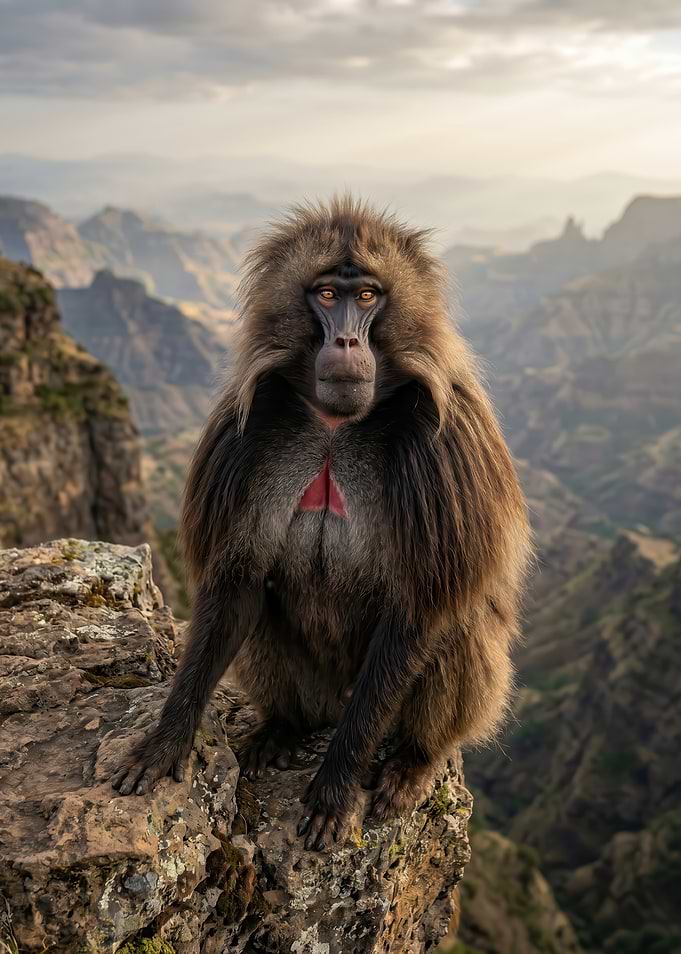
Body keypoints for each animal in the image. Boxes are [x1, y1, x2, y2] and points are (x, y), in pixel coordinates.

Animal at [110, 196, 531, 852]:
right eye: (328, 295)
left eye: (369, 296)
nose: (348, 341)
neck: (336, 427)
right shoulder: (244, 431)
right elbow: (237, 585)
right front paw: (167, 739)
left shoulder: (449, 447)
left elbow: (420, 608)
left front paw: (336, 788)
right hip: (318, 694)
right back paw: (284, 729)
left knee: (458, 622)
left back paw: (414, 761)